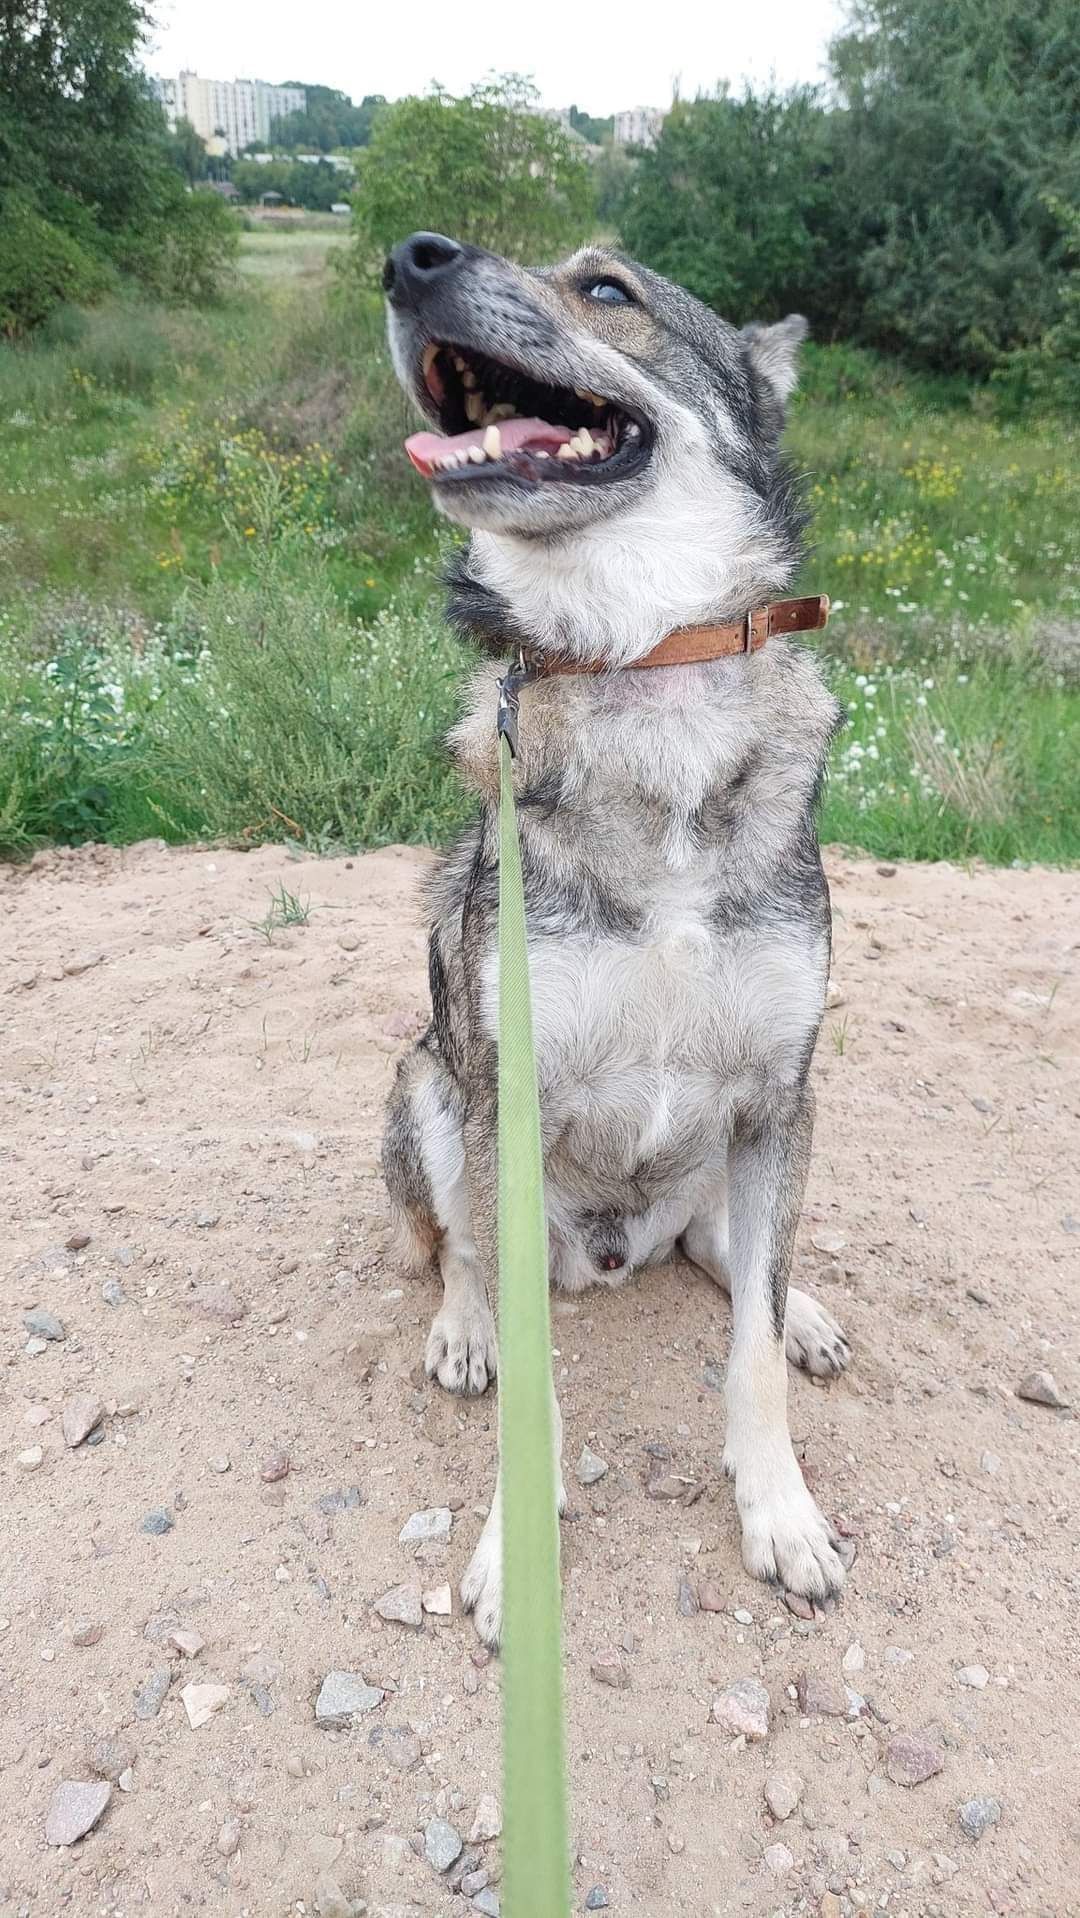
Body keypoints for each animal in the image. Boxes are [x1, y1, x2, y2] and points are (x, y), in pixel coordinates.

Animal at [379, 232, 855, 1641]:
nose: (409, 258)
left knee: (734, 1256)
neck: (646, 671)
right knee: (457, 1249)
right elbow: (529, 1378)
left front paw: (782, 1510)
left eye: (605, 288)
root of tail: (607, 1252)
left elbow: (750, 1356)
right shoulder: (505, 1090)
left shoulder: (781, 1090)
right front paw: (513, 1551)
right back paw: (467, 1331)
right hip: (425, 1082)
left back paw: (803, 1305)